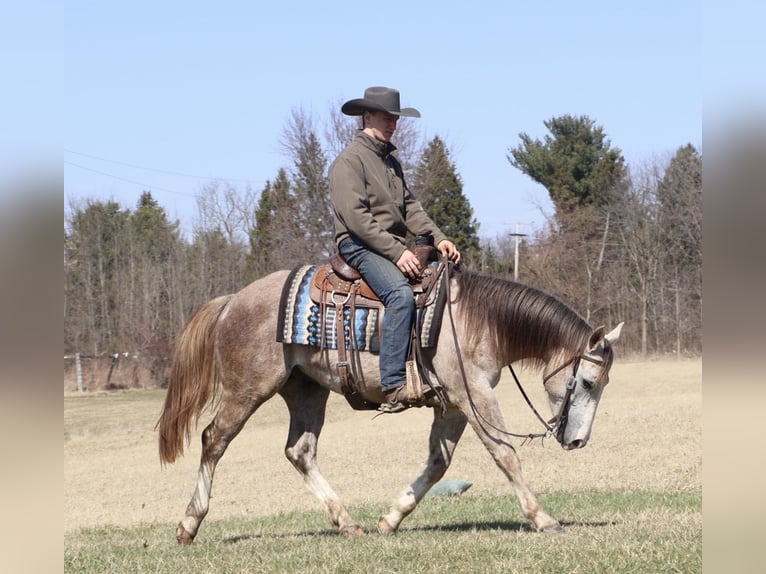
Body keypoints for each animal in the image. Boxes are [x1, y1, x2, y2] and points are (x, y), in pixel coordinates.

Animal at [156, 265, 623, 543]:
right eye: (586, 382)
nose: (578, 441)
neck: (476, 320)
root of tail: (232, 300)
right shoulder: (474, 395)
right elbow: (504, 454)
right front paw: (543, 518)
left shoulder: (453, 405)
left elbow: (438, 463)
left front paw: (392, 518)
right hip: (248, 389)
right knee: (213, 439)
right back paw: (188, 525)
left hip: (306, 391)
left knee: (299, 451)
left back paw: (348, 523)